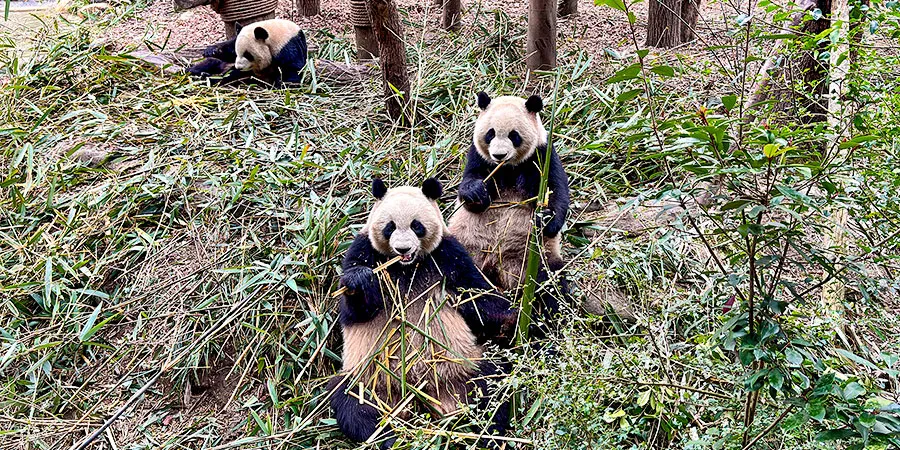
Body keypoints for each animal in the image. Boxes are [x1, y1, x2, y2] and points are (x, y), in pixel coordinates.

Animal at [328, 178, 516, 449]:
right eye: (390, 227)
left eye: (416, 226)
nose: (402, 248)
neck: (406, 267)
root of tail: (421, 395)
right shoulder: (363, 251)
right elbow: (355, 311)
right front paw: (360, 281)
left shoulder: (447, 255)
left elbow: (476, 297)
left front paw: (516, 316)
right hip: (370, 380)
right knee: (352, 403)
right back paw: (390, 437)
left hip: (464, 364)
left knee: (491, 382)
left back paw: (487, 431)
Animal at [448, 92, 571, 332]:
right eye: (490, 133)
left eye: (514, 135)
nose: (499, 155)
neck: (509, 168)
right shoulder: (478, 156)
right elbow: (468, 186)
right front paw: (476, 192)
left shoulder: (543, 155)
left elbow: (556, 191)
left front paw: (545, 220)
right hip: (468, 247)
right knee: (462, 279)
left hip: (534, 258)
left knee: (552, 284)